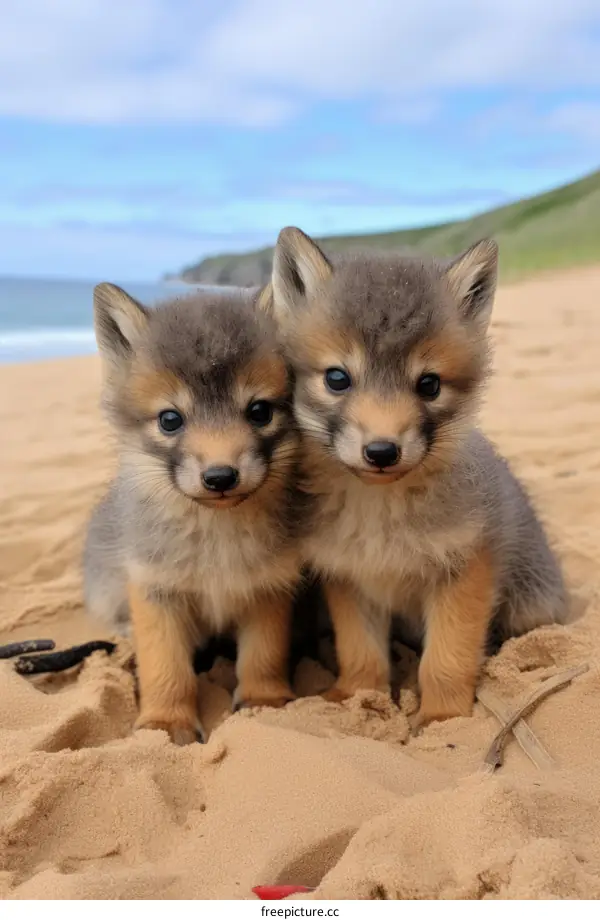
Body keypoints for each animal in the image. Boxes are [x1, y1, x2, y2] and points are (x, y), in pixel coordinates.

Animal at [84, 283, 307, 744]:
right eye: (170, 420)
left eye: (259, 412)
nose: (220, 476)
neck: (215, 541)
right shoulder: (156, 591)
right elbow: (166, 670)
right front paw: (167, 721)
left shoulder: (269, 588)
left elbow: (263, 656)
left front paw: (263, 701)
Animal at [262, 227, 567, 728]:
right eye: (337, 378)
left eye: (429, 385)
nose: (382, 451)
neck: (382, 518)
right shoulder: (351, 578)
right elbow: (362, 654)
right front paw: (359, 698)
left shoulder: (465, 571)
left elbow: (445, 659)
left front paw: (443, 717)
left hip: (529, 606)